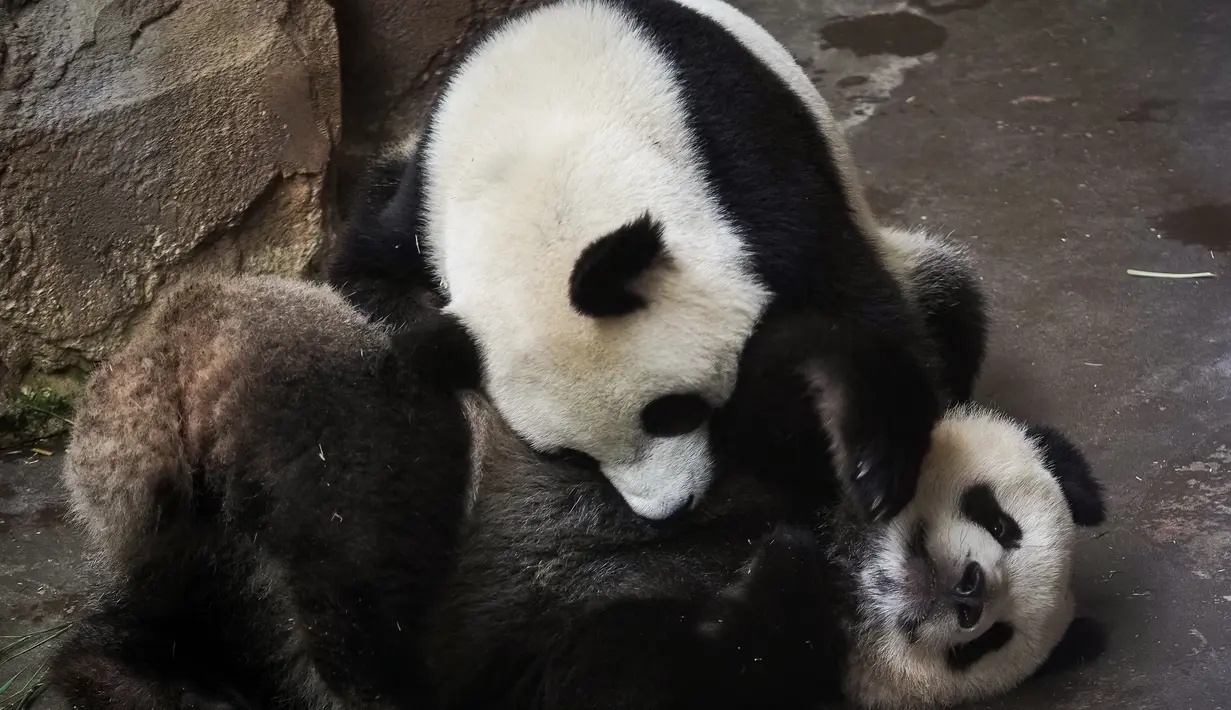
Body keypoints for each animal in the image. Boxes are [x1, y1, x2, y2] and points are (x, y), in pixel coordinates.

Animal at [328, 0, 951, 522]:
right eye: (574, 456)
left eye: (671, 411)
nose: (670, 510)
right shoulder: (423, 200)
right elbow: (366, 278)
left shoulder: (740, 155)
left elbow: (846, 297)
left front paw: (870, 463)